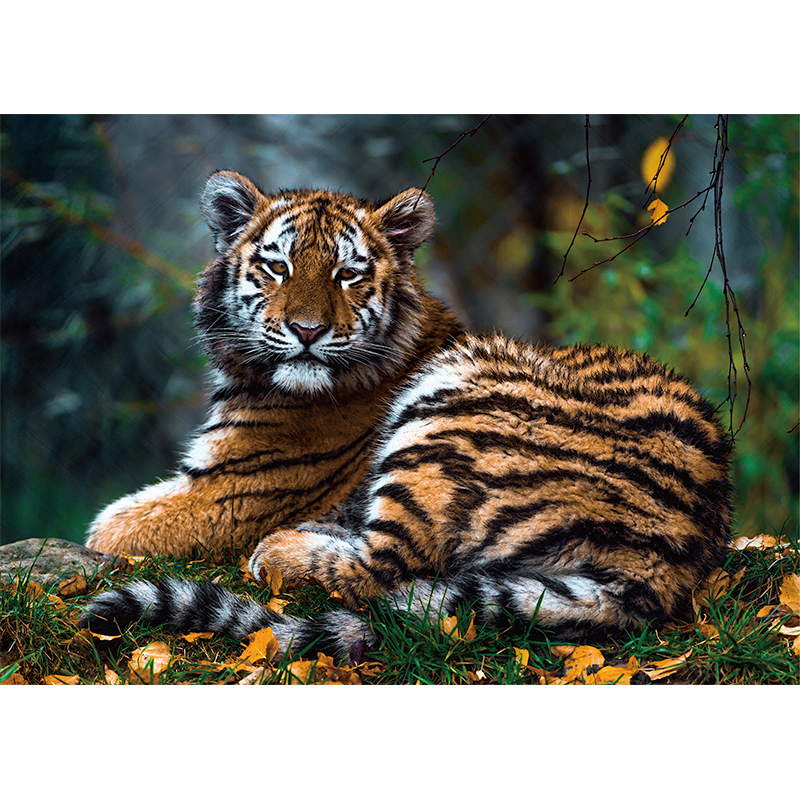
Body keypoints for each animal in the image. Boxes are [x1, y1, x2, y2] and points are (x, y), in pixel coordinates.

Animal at [81, 171, 733, 664]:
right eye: (278, 268)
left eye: (348, 273)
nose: (307, 331)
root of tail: (671, 559)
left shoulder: (231, 491)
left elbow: (109, 527)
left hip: (447, 404)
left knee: (385, 567)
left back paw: (282, 549)